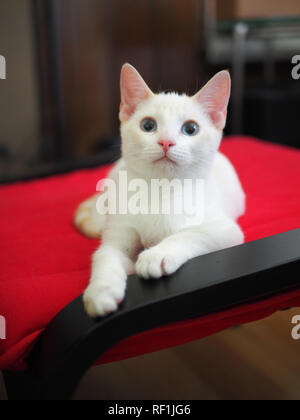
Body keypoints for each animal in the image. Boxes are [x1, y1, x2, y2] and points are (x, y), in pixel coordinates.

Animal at [74, 64, 245, 316]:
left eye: (191, 128)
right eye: (148, 126)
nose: (166, 142)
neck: (162, 189)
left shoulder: (226, 230)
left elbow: (191, 233)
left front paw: (156, 255)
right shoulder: (119, 233)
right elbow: (106, 255)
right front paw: (101, 290)